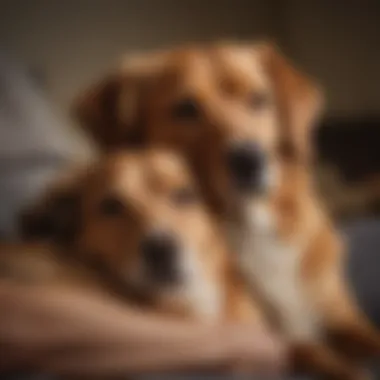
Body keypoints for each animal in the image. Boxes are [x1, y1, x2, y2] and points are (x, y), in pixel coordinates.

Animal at [72, 40, 380, 378]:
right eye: (186, 108)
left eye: (259, 99)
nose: (250, 159)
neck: (250, 225)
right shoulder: (282, 345)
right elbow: (337, 365)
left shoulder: (341, 318)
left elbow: (369, 337)